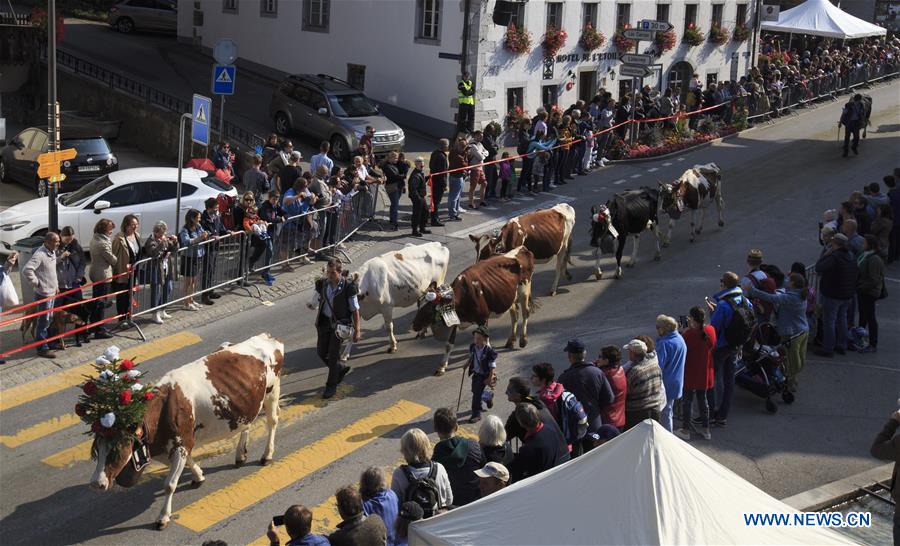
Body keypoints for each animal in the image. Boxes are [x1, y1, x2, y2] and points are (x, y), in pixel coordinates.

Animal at [82, 332, 284, 528]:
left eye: (117, 448)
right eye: (97, 449)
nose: (96, 483)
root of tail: (266, 337)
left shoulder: (181, 444)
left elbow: (169, 484)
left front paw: (163, 516)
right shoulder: (172, 445)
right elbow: (187, 463)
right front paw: (199, 476)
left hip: (272, 392)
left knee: (272, 422)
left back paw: (267, 455)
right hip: (246, 404)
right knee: (247, 424)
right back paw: (240, 454)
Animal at [414, 246, 536, 374]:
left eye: (429, 310)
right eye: (418, 304)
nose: (414, 325)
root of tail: (521, 248)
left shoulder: (483, 319)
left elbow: (486, 343)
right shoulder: (455, 320)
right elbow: (449, 345)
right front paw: (442, 366)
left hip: (525, 289)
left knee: (525, 313)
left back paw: (523, 340)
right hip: (510, 297)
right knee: (515, 315)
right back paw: (510, 341)